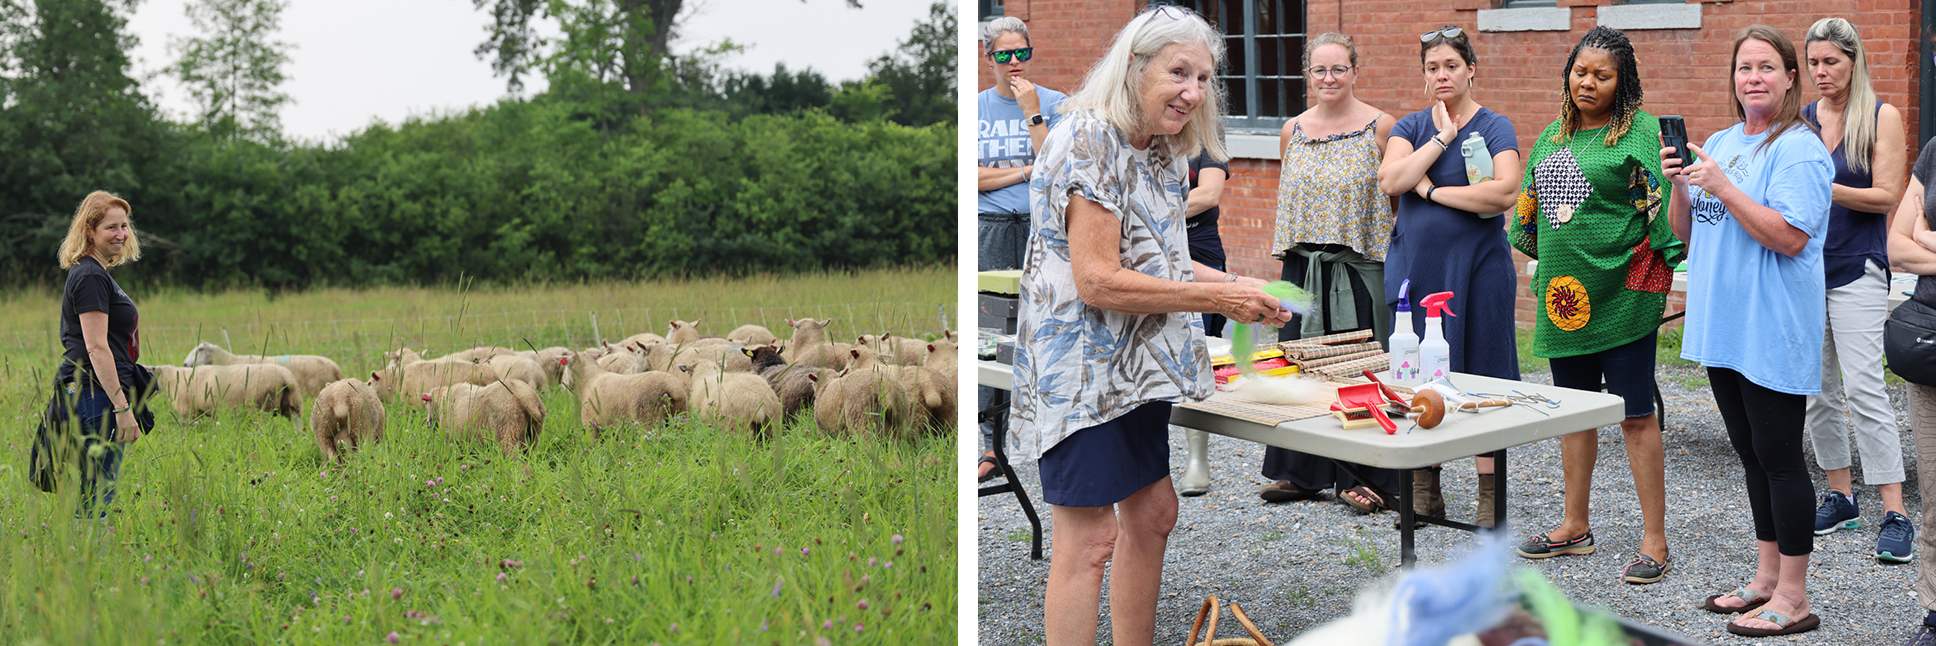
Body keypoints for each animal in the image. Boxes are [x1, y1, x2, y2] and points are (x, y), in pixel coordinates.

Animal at [561, 350, 689, 437]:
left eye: (567, 367)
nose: (565, 384)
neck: (589, 380)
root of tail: (673, 388)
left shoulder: (591, 426)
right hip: (680, 415)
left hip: (648, 419)